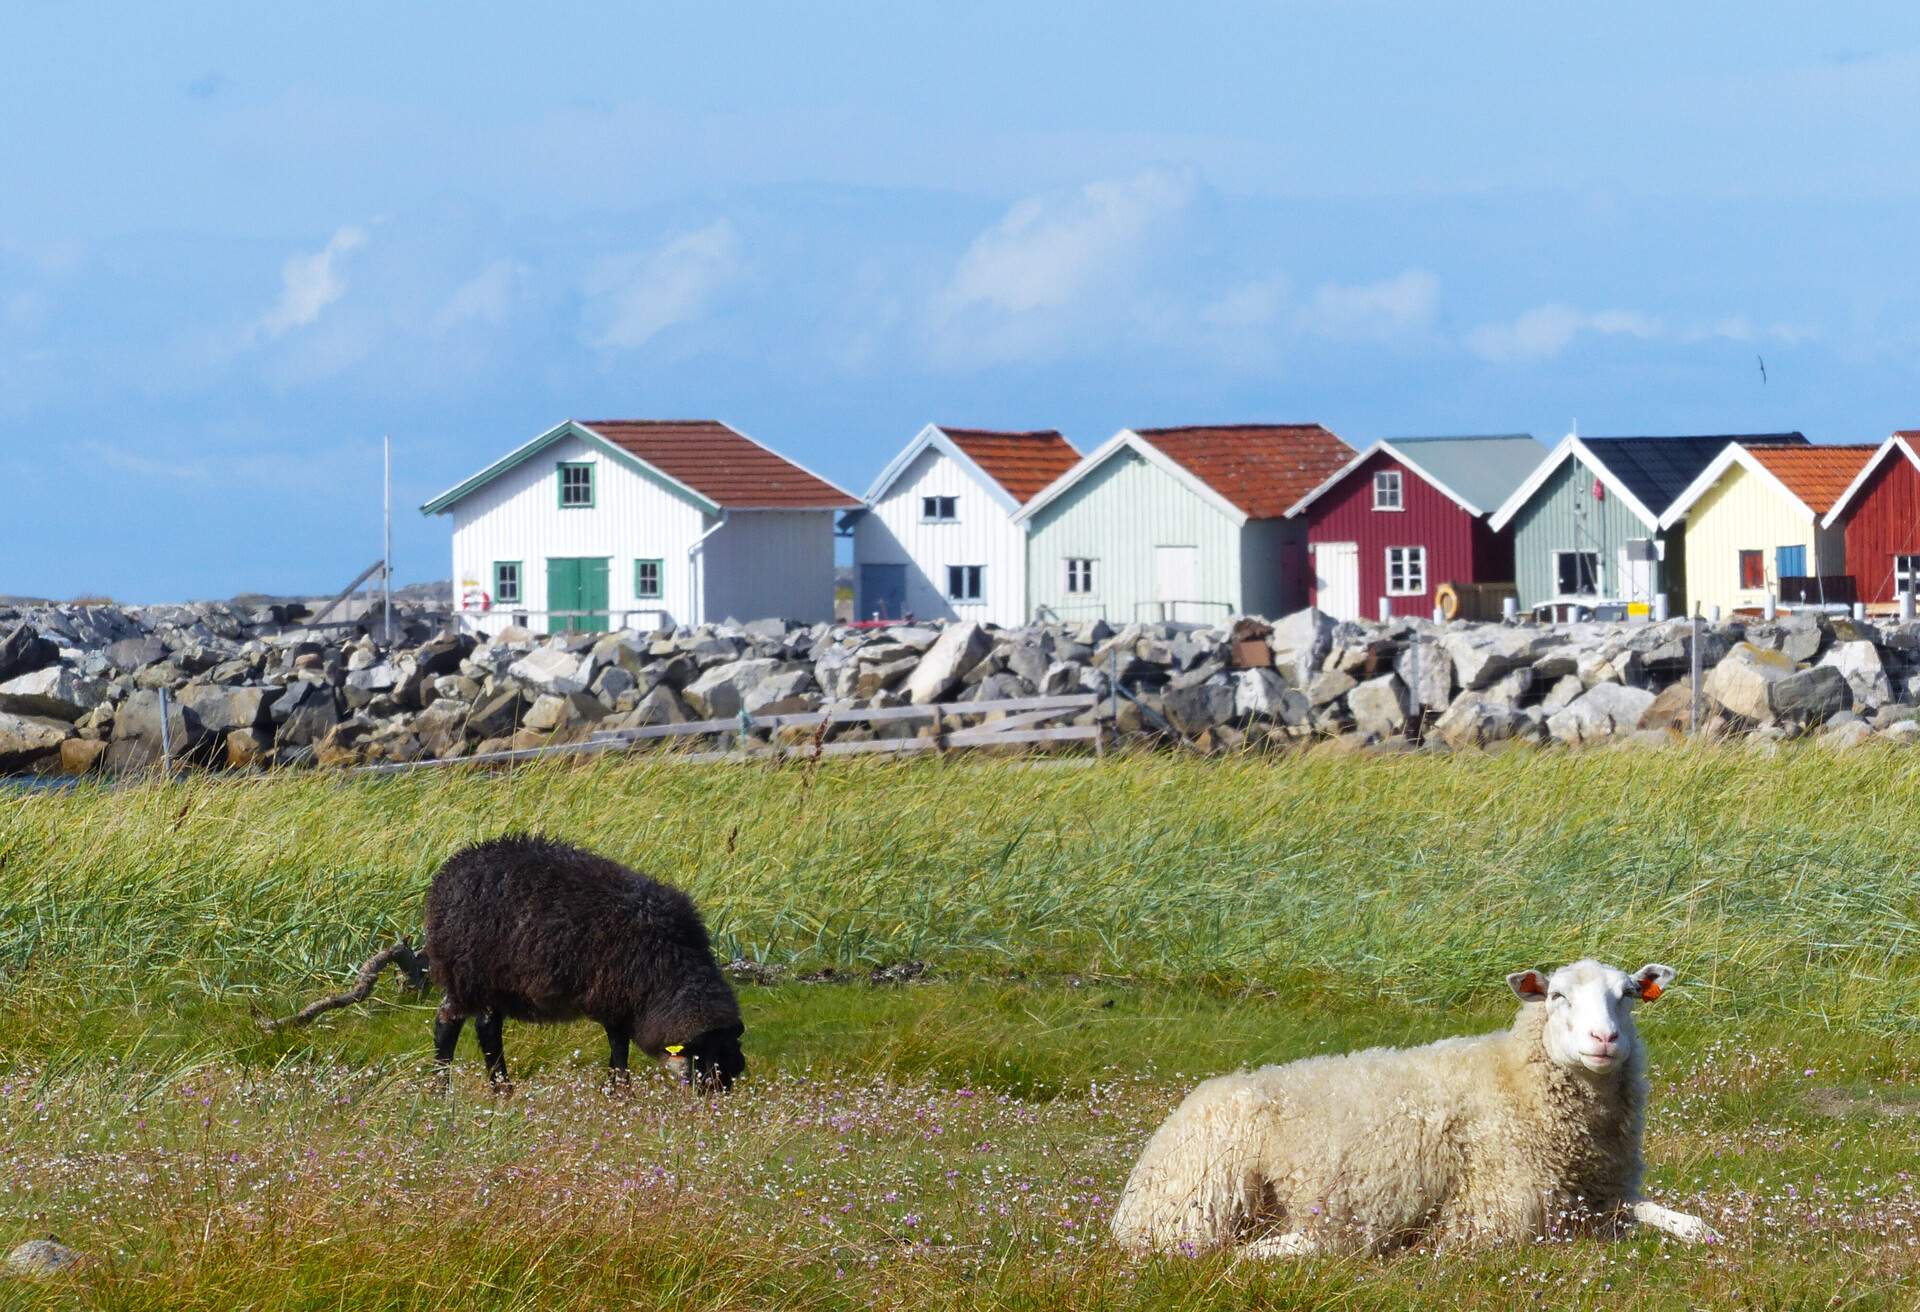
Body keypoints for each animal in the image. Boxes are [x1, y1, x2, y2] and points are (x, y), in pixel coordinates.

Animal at [424, 837, 744, 1091]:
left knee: (485, 1027)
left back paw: (499, 1088)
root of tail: (446, 876)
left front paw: (614, 1089)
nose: (719, 1092)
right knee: (449, 1024)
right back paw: (444, 1089)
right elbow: (619, 1047)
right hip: (469, 974)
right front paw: (620, 1091)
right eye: (704, 1053)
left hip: (493, 983)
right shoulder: (614, 999)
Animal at [1105, 960, 1720, 1260]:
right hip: (1205, 1201)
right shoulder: (1501, 1215)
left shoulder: (1604, 1196)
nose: (1605, 1039)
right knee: (1216, 1250)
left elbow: (1674, 1220)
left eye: (1628, 995)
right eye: (1556, 996)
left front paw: (1699, 1229)